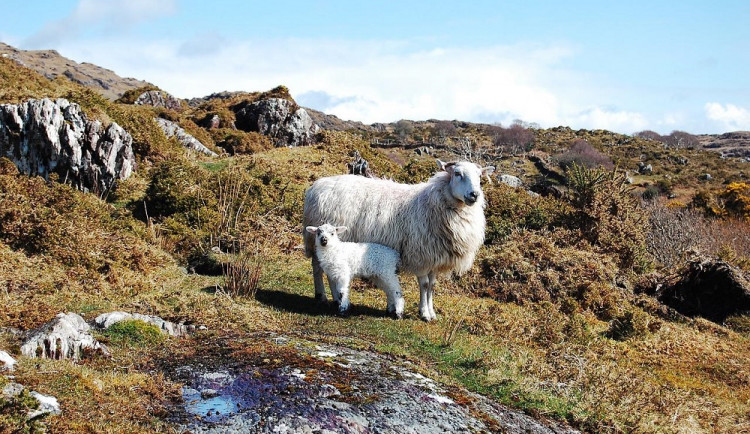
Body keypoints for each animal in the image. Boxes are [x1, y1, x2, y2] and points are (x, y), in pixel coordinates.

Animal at [302, 159, 496, 318]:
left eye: (479, 176)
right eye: (457, 173)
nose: (474, 195)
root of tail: (316, 186)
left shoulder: (434, 257)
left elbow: (432, 286)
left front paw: (431, 312)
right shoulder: (420, 255)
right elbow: (425, 285)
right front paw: (424, 313)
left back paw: (334, 298)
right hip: (318, 241)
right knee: (318, 268)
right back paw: (323, 296)